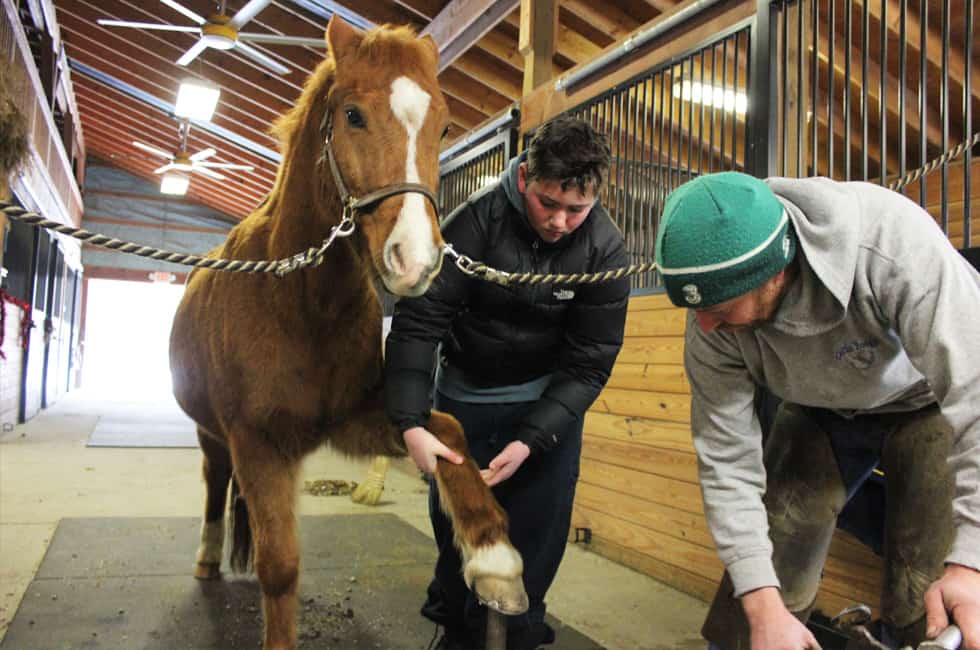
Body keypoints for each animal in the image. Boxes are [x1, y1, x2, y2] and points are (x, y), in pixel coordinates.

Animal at [168, 17, 528, 644]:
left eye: (443, 125)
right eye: (353, 115)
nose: (417, 261)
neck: (301, 302)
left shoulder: (356, 419)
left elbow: (449, 433)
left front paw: (494, 558)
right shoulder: (256, 442)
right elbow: (279, 567)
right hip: (213, 435)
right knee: (215, 484)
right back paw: (208, 558)